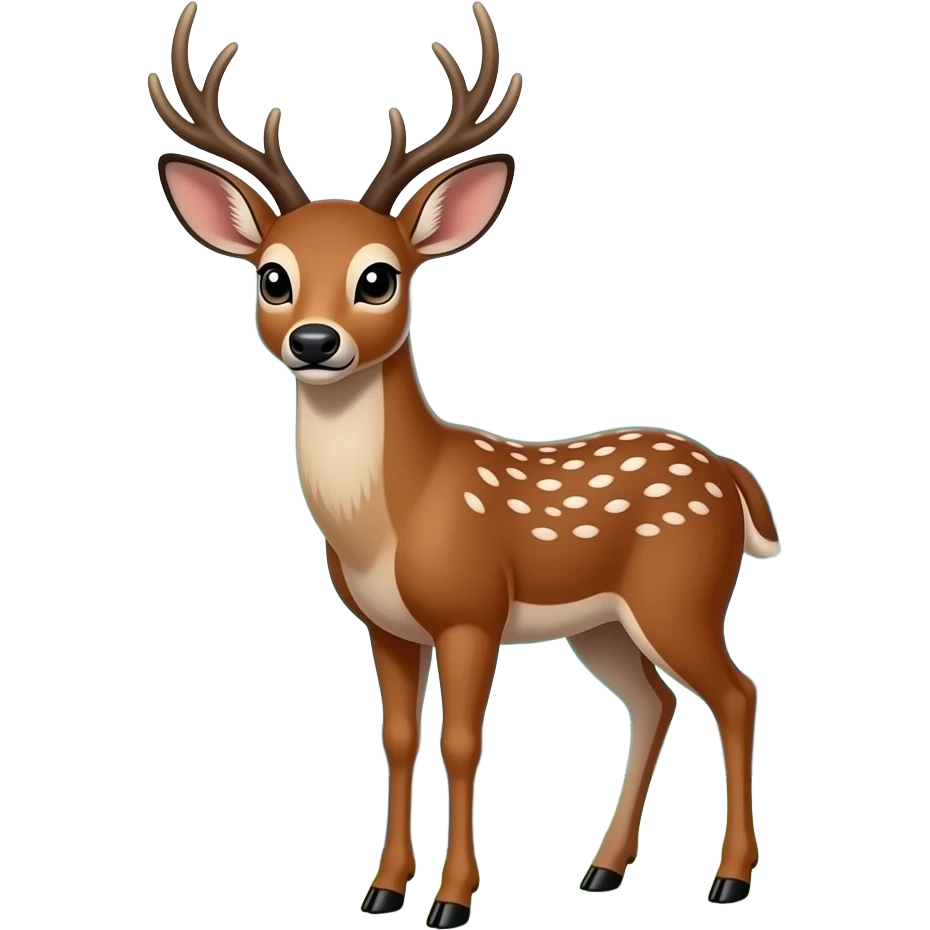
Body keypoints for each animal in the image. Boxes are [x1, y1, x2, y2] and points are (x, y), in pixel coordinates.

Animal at [148, 2, 780, 925]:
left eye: (379, 278)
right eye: (273, 278)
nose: (314, 341)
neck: (393, 518)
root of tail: (734, 478)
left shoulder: (471, 609)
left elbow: (463, 742)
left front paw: (451, 898)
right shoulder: (382, 624)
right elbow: (397, 739)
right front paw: (382, 890)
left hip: (683, 591)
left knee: (735, 692)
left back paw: (729, 879)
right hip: (601, 623)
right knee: (654, 701)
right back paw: (602, 869)